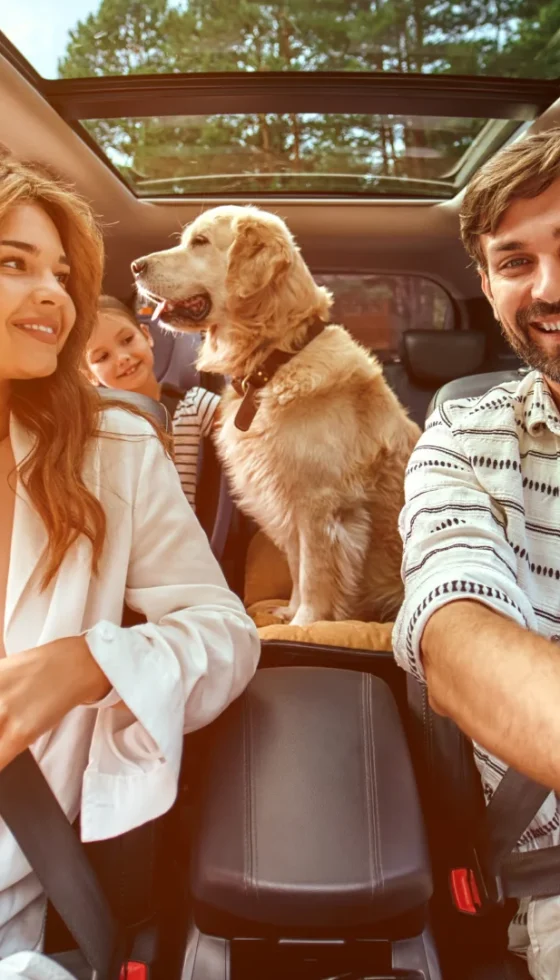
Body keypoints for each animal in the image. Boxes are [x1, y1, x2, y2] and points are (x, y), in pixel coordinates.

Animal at [132, 205, 420, 628]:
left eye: (199, 241)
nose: (135, 266)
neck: (276, 360)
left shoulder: (318, 504)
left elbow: (314, 573)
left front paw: (306, 623)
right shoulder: (284, 499)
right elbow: (297, 567)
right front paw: (289, 610)